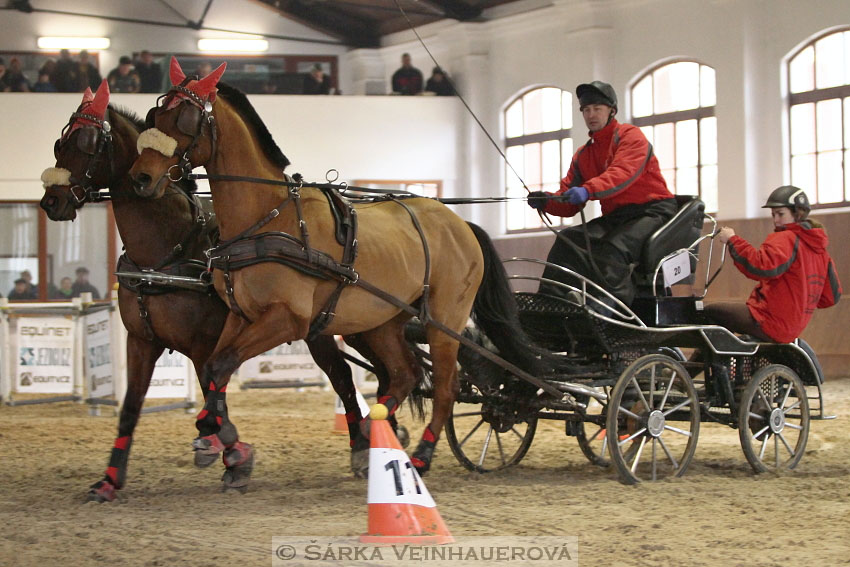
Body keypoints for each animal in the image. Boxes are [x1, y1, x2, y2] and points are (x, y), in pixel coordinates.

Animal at [39, 81, 376, 502]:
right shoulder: (141, 340)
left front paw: (232, 455)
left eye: (86, 143)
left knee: (347, 376)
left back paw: (366, 445)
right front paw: (109, 480)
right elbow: (131, 408)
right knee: (345, 374)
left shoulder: (204, 343)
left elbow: (214, 389)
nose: (51, 200)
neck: (167, 250)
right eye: (59, 142)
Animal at [132, 58, 544, 474]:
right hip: (383, 321)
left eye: (185, 118)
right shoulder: (240, 314)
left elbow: (221, 366)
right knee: (405, 374)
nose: (141, 177)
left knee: (446, 386)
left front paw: (224, 439)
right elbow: (214, 366)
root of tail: (460, 223)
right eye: (155, 114)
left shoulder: (288, 320)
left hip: (445, 321)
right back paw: (374, 432)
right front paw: (211, 432)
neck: (269, 217)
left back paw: (421, 454)